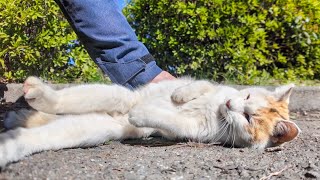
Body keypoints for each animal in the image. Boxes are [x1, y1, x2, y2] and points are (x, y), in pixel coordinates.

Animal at [0, 76, 300, 168]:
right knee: (61, 102)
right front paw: (182, 94)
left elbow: (173, 122)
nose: (229, 105)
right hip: (118, 95)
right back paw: (34, 97)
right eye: (246, 95)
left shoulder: (189, 132)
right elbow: (200, 84)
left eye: (249, 118)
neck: (216, 112)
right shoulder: (213, 87)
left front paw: (145, 113)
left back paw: (10, 142)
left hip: (98, 127)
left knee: (44, 131)